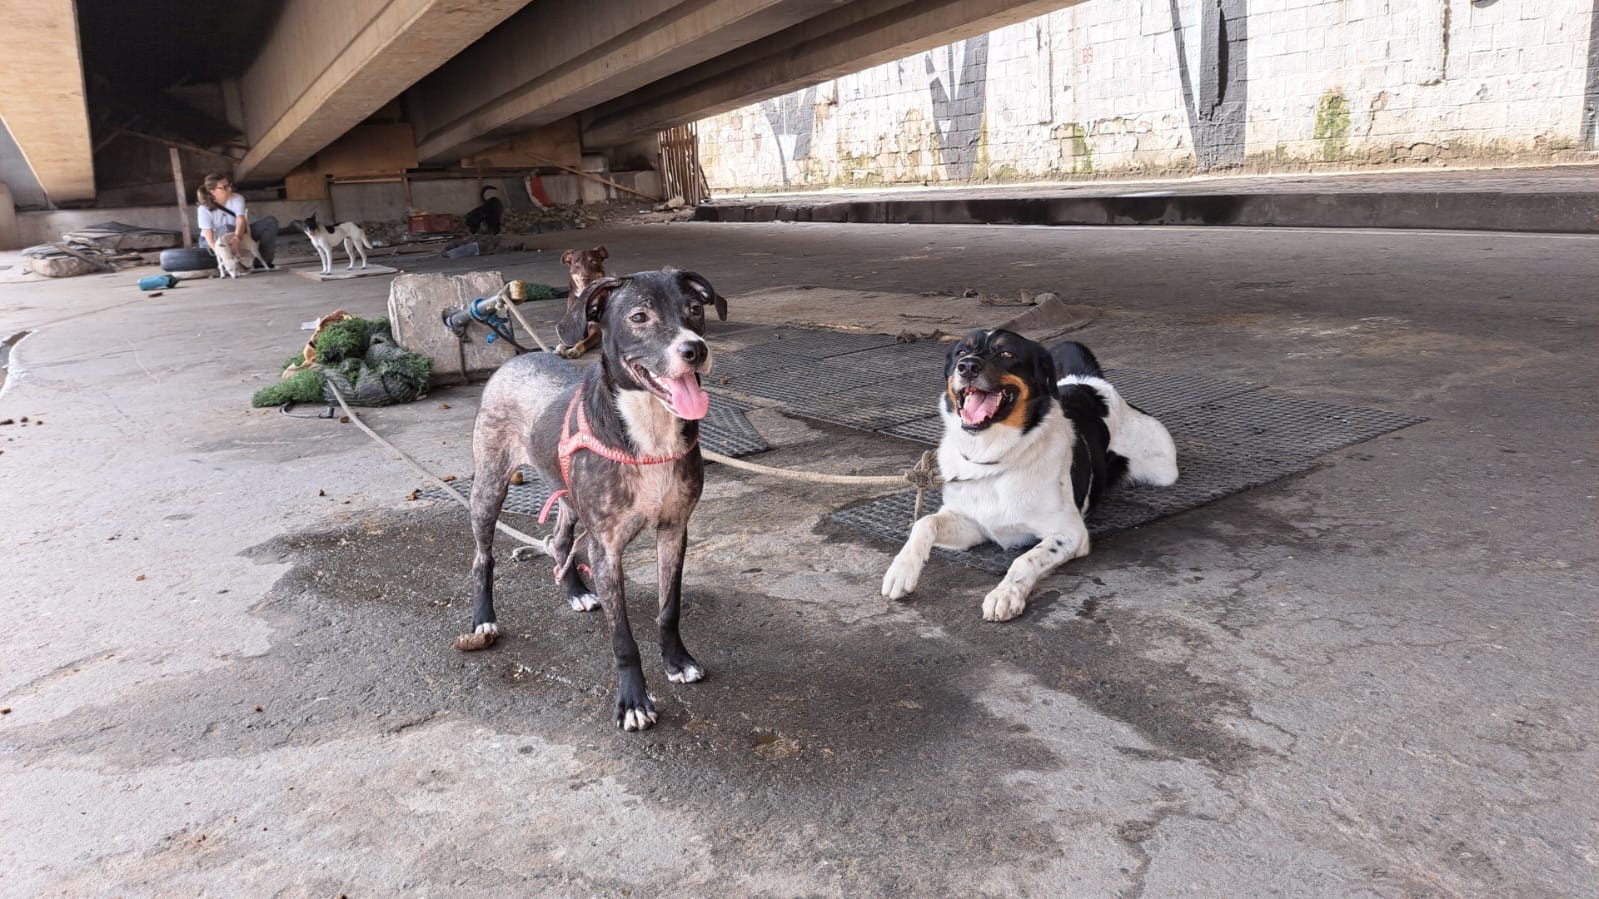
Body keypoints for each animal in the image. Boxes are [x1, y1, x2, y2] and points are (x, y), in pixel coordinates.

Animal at [463, 265, 732, 729]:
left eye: (695, 309)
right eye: (639, 316)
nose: (695, 350)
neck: (650, 431)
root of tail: (517, 357)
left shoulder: (674, 529)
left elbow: (669, 608)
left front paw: (677, 662)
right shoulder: (606, 548)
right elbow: (622, 637)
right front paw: (634, 701)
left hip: (569, 498)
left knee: (559, 541)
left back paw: (576, 591)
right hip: (490, 486)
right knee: (484, 556)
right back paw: (484, 619)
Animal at [882, 327, 1183, 614]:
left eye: (1007, 354)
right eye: (961, 352)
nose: (967, 367)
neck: (994, 458)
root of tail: (1088, 382)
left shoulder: (1070, 533)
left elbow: (1025, 558)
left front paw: (1005, 594)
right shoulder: (972, 525)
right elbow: (924, 523)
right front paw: (901, 571)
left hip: (1162, 469)